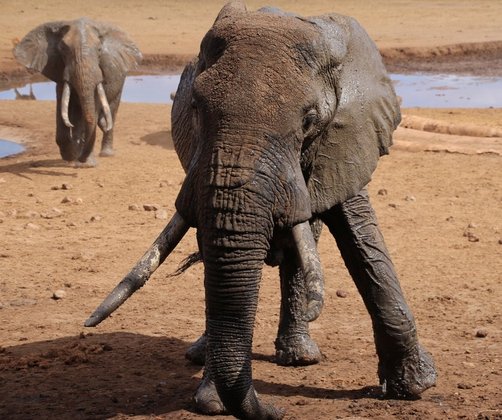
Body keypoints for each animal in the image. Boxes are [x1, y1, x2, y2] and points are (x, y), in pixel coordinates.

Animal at [13, 18, 141, 166]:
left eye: (99, 50)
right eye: (63, 49)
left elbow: (92, 110)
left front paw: (85, 164)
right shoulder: (60, 72)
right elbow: (64, 107)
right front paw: (72, 155)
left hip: (121, 79)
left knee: (111, 110)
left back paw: (106, 153)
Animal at [85, 1, 436, 418]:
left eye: (309, 120)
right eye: (194, 107)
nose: (276, 410)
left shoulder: (348, 140)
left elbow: (364, 242)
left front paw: (415, 387)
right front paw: (212, 403)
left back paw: (300, 357)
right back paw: (203, 353)